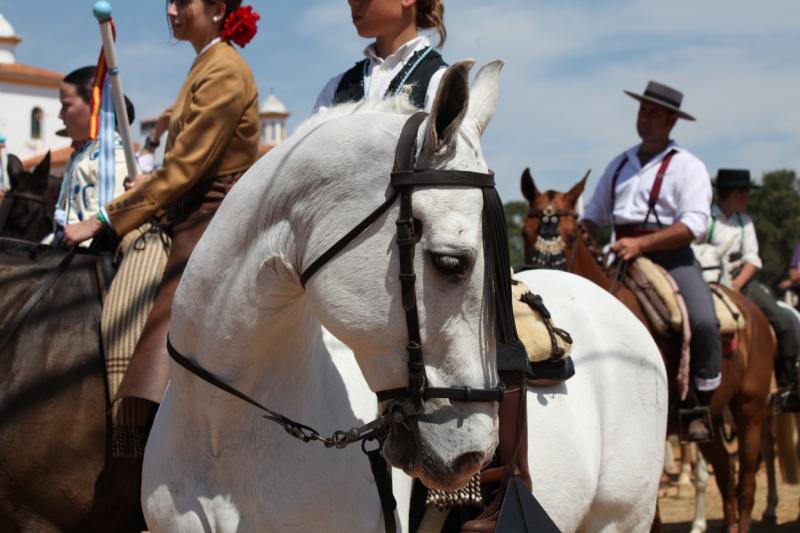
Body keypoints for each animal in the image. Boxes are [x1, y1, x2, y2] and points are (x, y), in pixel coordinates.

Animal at [520, 169, 776, 532]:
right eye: (525, 233)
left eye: (570, 237)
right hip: (711, 420)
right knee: (726, 477)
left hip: (750, 409)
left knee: (745, 487)